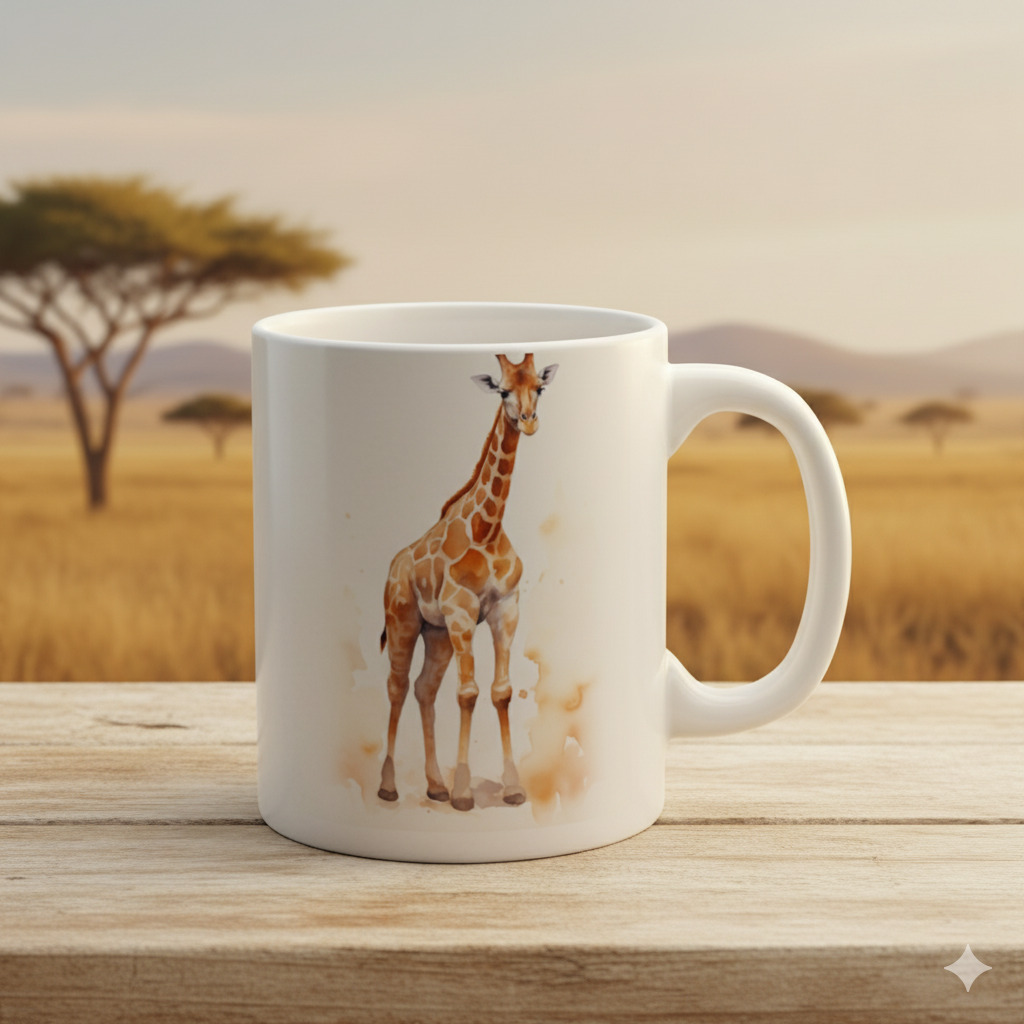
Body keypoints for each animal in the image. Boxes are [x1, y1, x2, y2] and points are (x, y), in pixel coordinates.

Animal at [377, 353, 558, 811]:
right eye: (503, 390)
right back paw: (389, 786)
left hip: (437, 633)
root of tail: (392, 568)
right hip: (404, 621)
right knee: (397, 686)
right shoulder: (461, 612)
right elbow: (468, 693)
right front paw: (463, 792)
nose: (529, 422)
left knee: (424, 689)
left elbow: (500, 691)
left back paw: (434, 786)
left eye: (539, 387)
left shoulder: (505, 609)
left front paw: (512, 787)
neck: (486, 529)